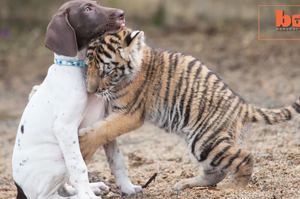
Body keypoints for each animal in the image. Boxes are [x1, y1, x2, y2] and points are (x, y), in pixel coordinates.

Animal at [11, 0, 142, 198]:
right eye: (87, 9)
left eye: (97, 3)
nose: (121, 13)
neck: (80, 68)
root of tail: (20, 189)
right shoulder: (65, 128)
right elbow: (79, 167)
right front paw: (87, 195)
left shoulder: (104, 121)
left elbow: (116, 158)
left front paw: (127, 187)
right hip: (57, 162)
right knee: (51, 195)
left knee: (63, 188)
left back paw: (93, 187)